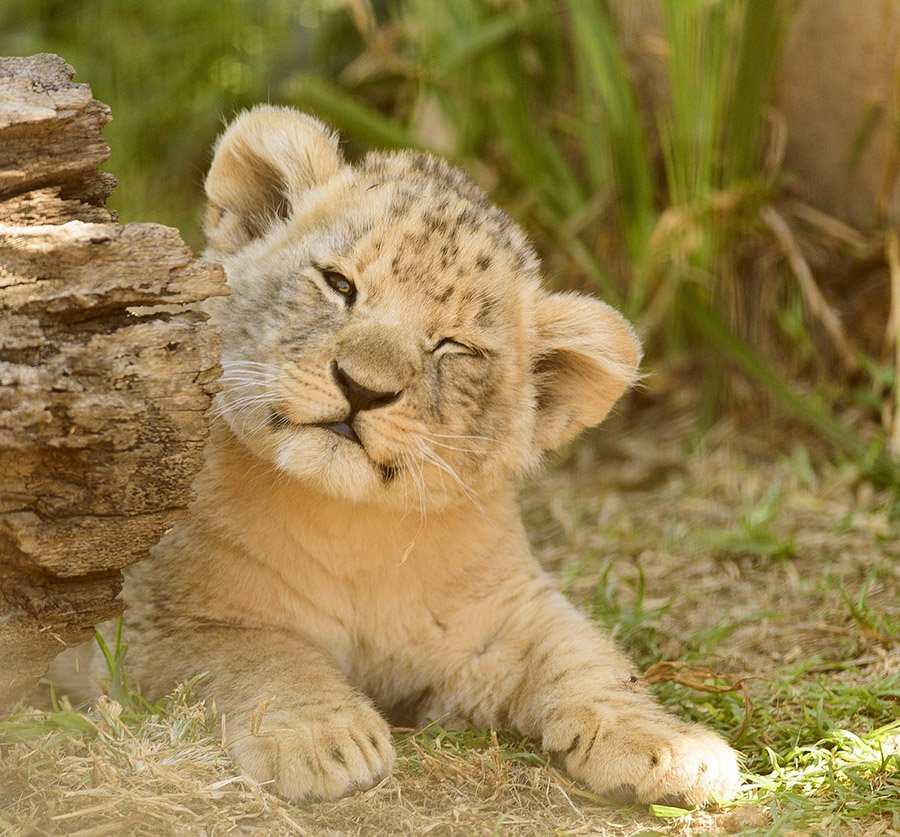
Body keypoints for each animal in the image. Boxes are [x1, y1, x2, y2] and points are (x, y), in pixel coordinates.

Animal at [48, 106, 740, 806]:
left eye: (454, 346)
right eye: (338, 284)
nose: (362, 388)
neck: (353, 530)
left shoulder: (502, 617)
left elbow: (590, 658)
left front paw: (674, 747)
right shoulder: (146, 621)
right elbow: (261, 653)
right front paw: (323, 739)